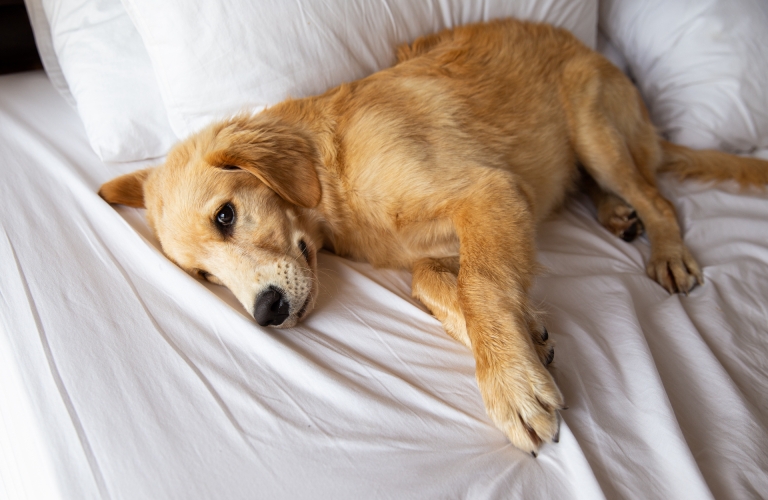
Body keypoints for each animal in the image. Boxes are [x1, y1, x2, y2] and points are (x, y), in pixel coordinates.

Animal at [100, 19, 768, 456]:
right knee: (600, 187)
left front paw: (509, 383)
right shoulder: (445, 237)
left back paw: (666, 247)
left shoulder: (488, 193)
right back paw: (614, 214)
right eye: (204, 277)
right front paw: (524, 334)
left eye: (226, 217)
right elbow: (440, 282)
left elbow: (483, 280)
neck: (332, 171)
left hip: (593, 126)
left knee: (657, 195)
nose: (267, 314)